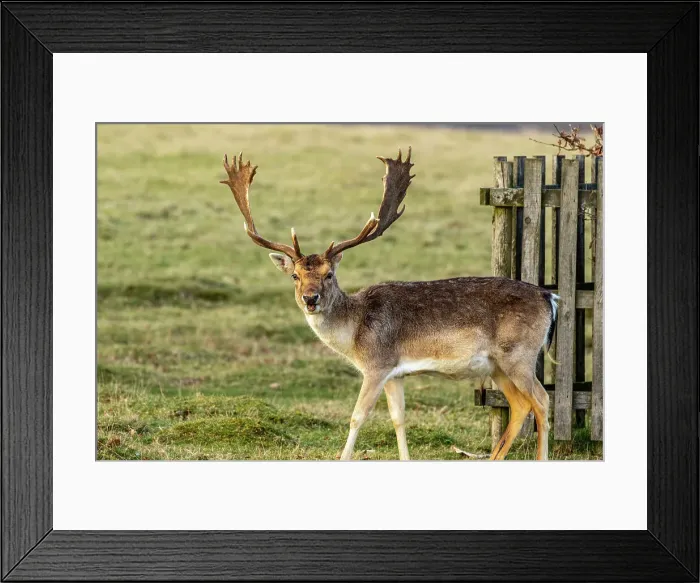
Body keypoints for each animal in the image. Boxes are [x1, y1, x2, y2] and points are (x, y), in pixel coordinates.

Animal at [220, 148, 558, 461]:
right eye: (295, 275)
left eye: (329, 274)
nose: (310, 298)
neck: (354, 334)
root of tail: (550, 298)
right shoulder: (395, 373)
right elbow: (398, 419)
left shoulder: (377, 364)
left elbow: (357, 416)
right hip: (498, 365)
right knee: (520, 404)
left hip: (519, 354)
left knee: (542, 400)